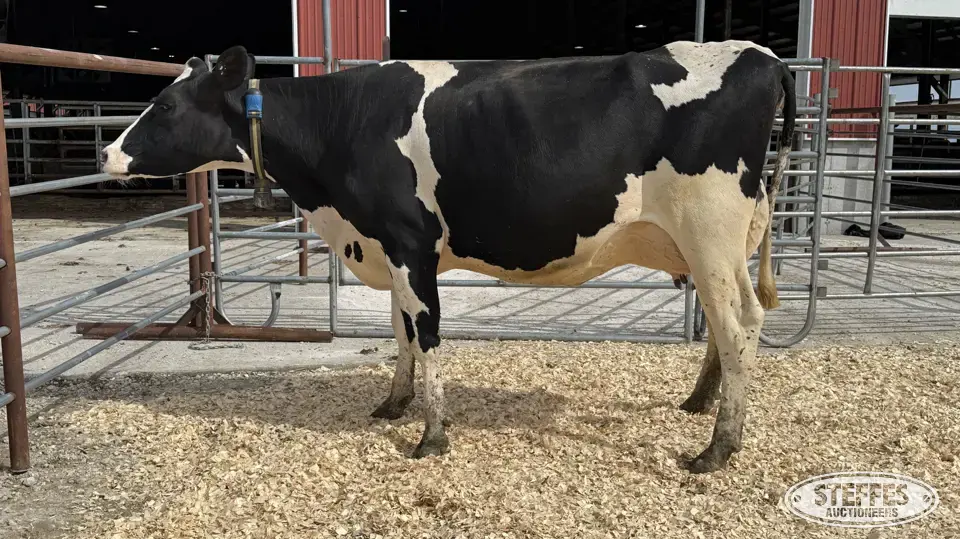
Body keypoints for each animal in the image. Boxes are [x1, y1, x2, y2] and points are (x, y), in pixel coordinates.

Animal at [102, 40, 796, 473]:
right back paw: (700, 403)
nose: (106, 153)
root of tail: (762, 56)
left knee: (740, 323)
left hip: (709, 228)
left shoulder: (409, 241)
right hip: (719, 241)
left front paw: (431, 437)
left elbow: (427, 332)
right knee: (726, 326)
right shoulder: (389, 247)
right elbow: (399, 330)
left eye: (165, 105)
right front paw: (394, 404)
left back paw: (718, 447)